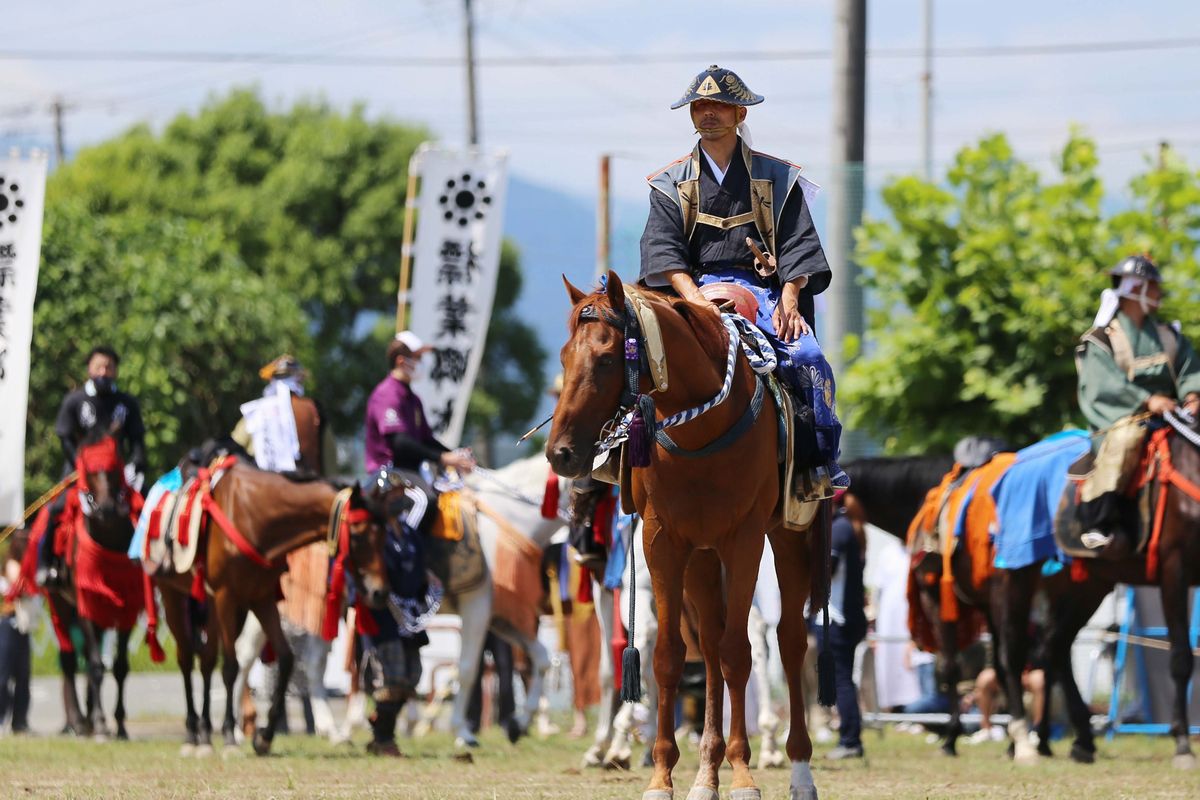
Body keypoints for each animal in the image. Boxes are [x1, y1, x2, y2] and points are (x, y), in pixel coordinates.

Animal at [151, 448, 388, 762]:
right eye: (359, 536)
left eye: (384, 535)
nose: (379, 592)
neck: (254, 517)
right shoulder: (229, 597)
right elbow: (232, 666)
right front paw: (231, 737)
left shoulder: (262, 599)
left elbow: (287, 659)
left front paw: (265, 736)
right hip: (175, 596)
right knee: (191, 658)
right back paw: (196, 734)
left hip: (214, 605)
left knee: (207, 660)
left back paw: (205, 736)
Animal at [549, 273, 825, 800]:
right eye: (564, 357)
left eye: (607, 358)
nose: (562, 454)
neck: (701, 431)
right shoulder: (664, 542)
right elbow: (667, 657)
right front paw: (661, 775)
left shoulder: (743, 539)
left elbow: (739, 654)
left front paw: (744, 776)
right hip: (701, 557)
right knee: (712, 644)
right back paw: (706, 772)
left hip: (787, 540)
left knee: (786, 642)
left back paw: (797, 767)